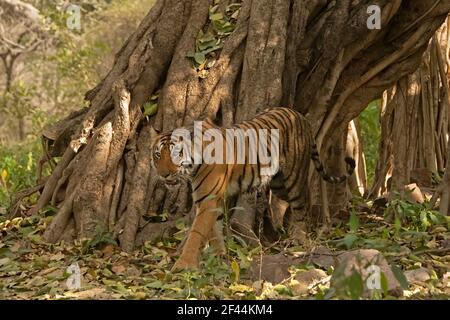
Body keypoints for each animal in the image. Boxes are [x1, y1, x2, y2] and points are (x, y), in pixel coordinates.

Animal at [151, 107, 356, 270]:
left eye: (177, 154)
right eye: (157, 155)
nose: (163, 175)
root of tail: (300, 115)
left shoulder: (208, 200)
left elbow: (197, 233)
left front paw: (183, 265)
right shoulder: (210, 200)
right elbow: (214, 230)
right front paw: (219, 256)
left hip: (294, 179)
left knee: (302, 205)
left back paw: (299, 240)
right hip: (279, 184)